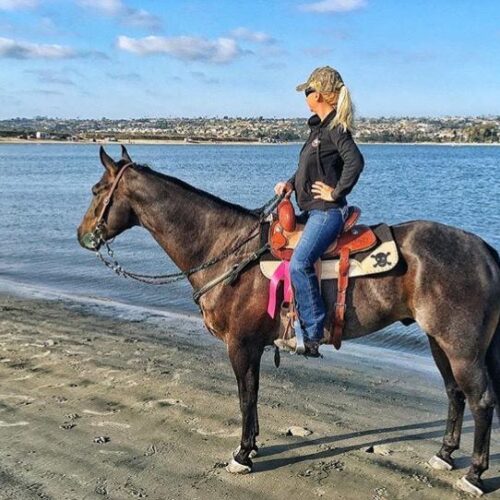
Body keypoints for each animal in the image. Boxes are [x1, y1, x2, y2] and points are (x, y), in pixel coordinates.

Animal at [77, 146, 500, 496]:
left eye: (97, 189)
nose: (82, 236)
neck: (228, 249)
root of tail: (484, 250)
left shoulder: (241, 345)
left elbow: (246, 397)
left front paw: (242, 455)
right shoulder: (252, 347)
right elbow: (252, 395)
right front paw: (251, 447)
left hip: (460, 346)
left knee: (480, 399)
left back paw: (474, 475)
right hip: (438, 341)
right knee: (454, 393)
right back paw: (444, 454)